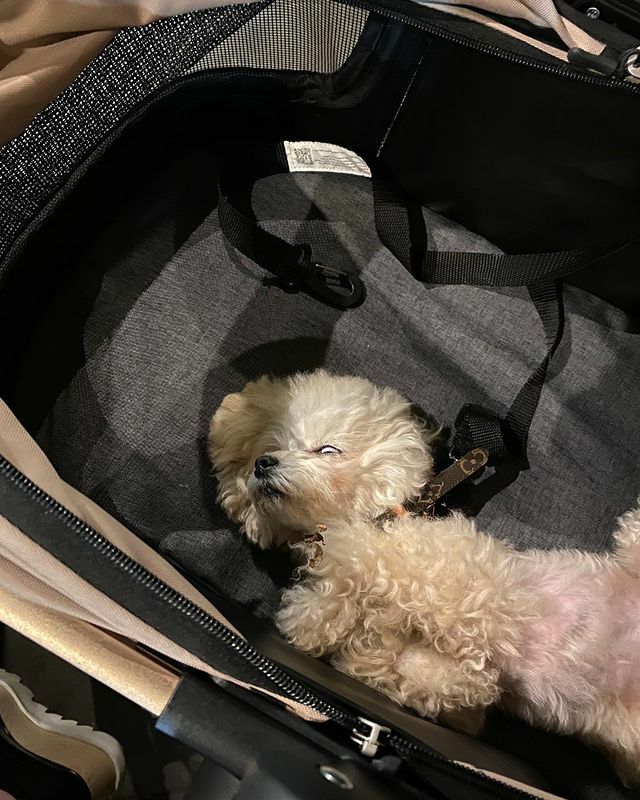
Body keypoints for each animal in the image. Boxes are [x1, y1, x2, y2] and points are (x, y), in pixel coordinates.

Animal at [209, 369, 640, 784]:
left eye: (327, 449)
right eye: (272, 446)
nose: (264, 463)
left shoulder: (446, 576)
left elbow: (364, 564)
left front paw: (320, 606)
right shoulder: (448, 668)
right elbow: (423, 674)